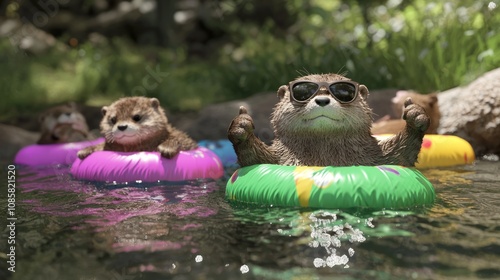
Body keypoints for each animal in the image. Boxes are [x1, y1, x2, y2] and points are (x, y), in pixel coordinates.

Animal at [229, 73, 432, 167]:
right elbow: (254, 159)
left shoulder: (376, 156)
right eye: (303, 92)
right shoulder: (278, 158)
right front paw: (241, 125)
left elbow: (401, 156)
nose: (322, 100)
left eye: (344, 92)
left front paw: (415, 114)